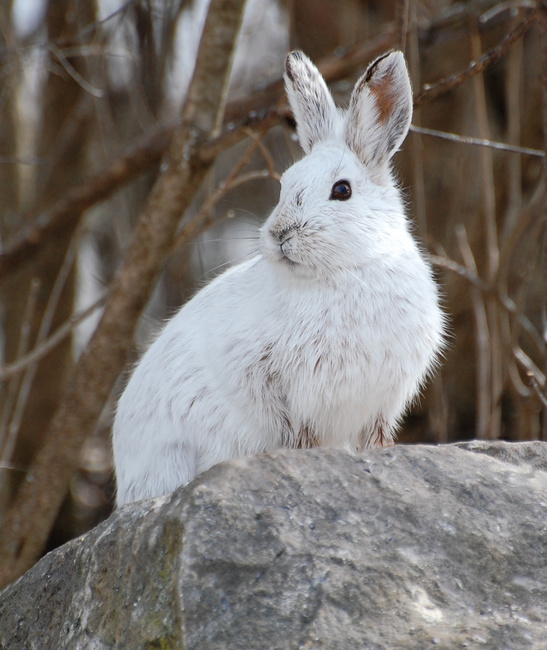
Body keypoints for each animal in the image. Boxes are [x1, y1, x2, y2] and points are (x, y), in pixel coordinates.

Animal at [113, 50, 445, 506]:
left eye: (342, 190)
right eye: (285, 185)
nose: (279, 234)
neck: (347, 271)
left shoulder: (382, 398)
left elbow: (373, 437)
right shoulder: (273, 381)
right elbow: (295, 430)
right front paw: (307, 457)